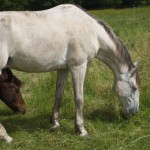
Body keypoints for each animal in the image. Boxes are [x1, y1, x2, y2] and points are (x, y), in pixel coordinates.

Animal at [0, 4, 140, 137]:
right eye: (134, 88)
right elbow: (79, 98)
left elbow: (59, 95)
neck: (92, 32)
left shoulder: (63, 69)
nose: (134, 112)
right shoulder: (78, 66)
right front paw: (81, 129)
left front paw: (55, 123)